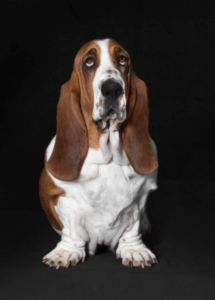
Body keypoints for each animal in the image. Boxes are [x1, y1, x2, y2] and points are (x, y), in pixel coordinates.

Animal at [39, 38, 159, 270]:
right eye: (89, 62)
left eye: (122, 59)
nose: (112, 89)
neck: (109, 156)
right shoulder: (61, 197)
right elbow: (72, 229)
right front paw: (66, 252)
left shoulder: (140, 200)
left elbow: (133, 225)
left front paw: (134, 250)